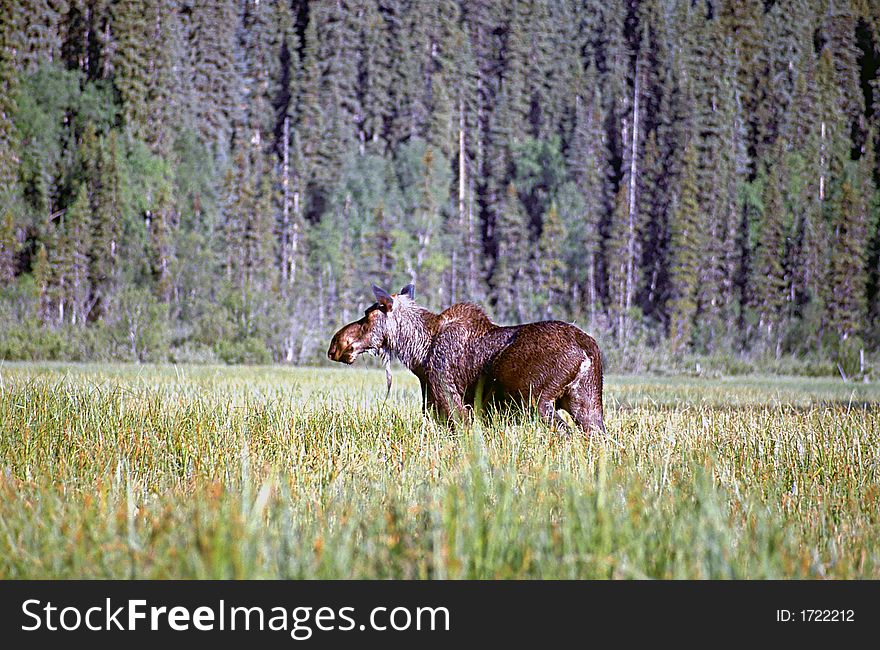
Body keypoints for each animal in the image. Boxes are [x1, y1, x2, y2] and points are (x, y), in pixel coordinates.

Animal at [326, 280, 608, 432]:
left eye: (367, 315)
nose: (336, 344)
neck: (418, 354)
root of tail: (586, 349)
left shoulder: (450, 402)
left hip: (535, 401)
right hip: (587, 403)